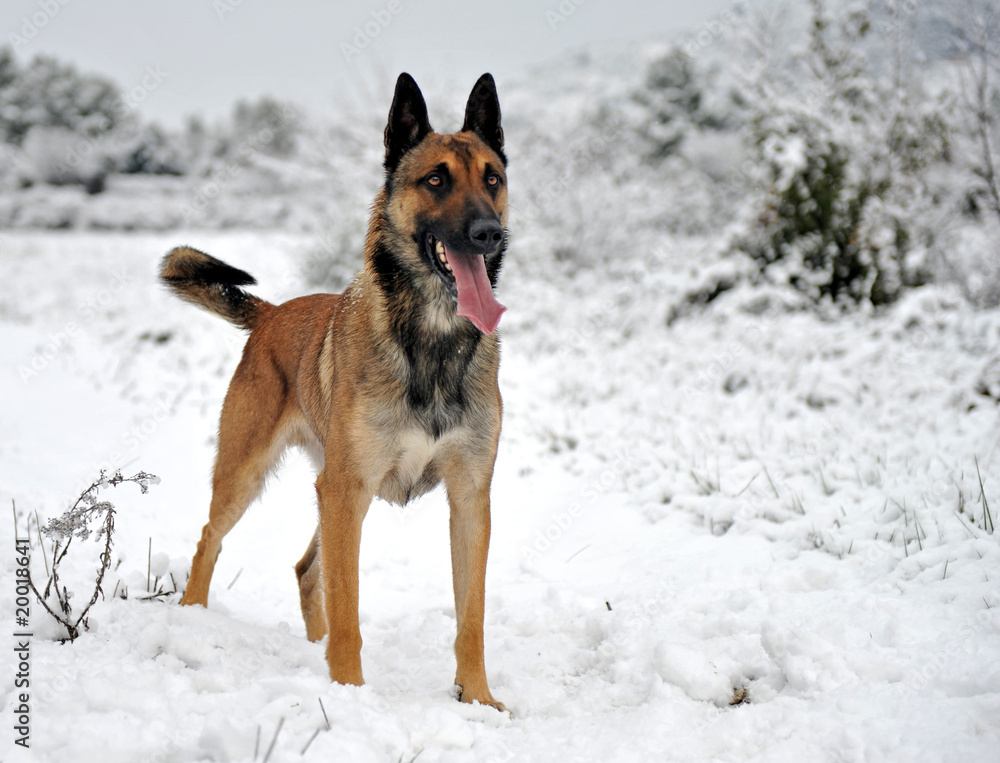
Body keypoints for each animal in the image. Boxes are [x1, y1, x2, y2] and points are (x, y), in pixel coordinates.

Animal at [162, 71, 516, 712]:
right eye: (435, 180)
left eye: (492, 179)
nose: (488, 233)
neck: (431, 341)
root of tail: (272, 314)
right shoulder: (348, 490)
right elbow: (350, 612)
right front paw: (350, 694)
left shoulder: (469, 499)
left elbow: (470, 619)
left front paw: (477, 700)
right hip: (257, 475)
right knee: (209, 542)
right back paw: (194, 620)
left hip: (333, 491)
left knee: (307, 570)